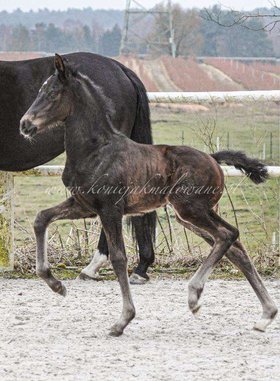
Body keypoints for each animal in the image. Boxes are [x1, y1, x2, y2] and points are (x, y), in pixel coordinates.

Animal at [20, 54, 278, 336]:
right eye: (40, 90)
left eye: (52, 93)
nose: (25, 124)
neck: (96, 150)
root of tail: (213, 158)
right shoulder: (83, 205)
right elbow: (41, 218)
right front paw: (55, 284)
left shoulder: (110, 209)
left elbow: (119, 258)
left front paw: (123, 320)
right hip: (192, 215)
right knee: (235, 246)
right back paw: (265, 315)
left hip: (191, 210)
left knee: (227, 235)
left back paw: (194, 295)